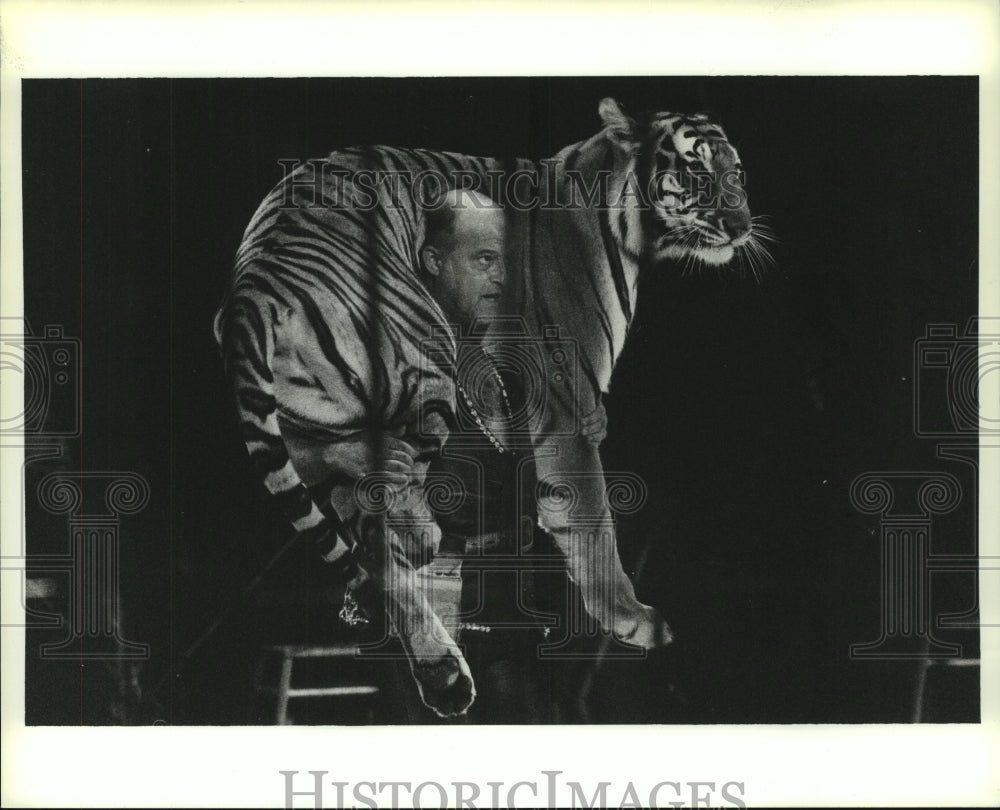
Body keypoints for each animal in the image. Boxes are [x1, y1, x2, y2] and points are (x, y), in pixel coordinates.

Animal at [211, 96, 756, 712]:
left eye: (737, 173)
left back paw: (436, 657)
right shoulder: (561, 402)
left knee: (363, 512)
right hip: (427, 362)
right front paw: (630, 618)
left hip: (310, 429)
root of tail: (252, 289)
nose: (741, 227)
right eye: (696, 170)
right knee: (390, 510)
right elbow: (592, 517)